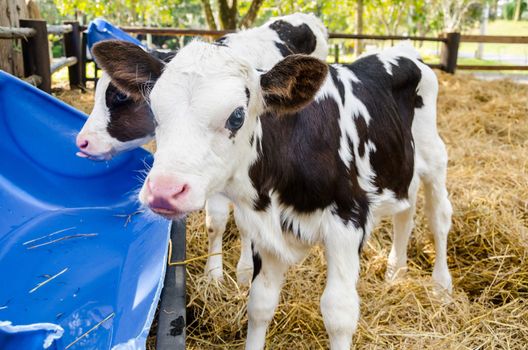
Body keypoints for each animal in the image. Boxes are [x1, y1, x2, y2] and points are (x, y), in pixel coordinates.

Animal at [76, 13, 328, 286]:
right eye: (153, 107)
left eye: (121, 96)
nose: (82, 141)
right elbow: (215, 222)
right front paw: (213, 273)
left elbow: (246, 224)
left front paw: (245, 270)